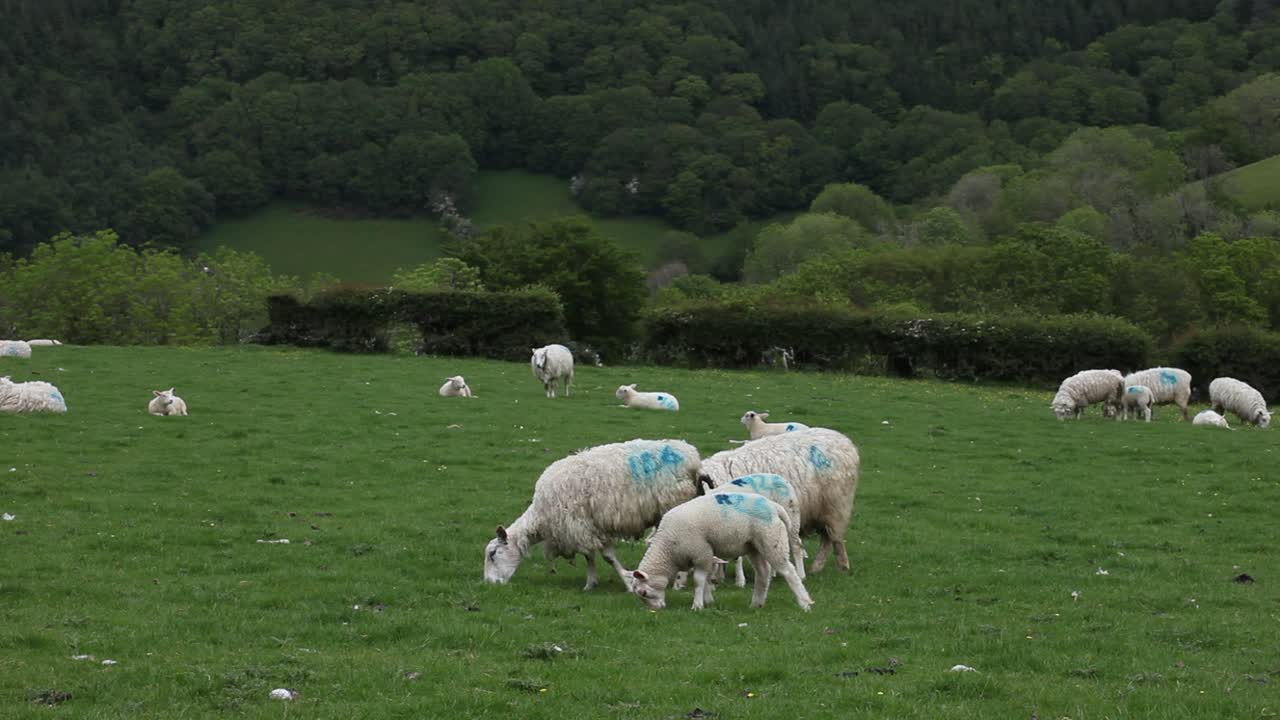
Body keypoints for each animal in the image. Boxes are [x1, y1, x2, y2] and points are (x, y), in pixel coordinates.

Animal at [483, 438, 704, 590]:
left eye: (493, 554)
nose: (489, 583)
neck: (541, 517)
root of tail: (692, 455)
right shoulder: (583, 529)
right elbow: (589, 556)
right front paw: (591, 583)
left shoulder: (580, 525)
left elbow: (608, 557)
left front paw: (627, 581)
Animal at [628, 492, 813, 611]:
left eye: (644, 592)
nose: (656, 610)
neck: (668, 549)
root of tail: (774, 506)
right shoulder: (705, 556)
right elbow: (706, 579)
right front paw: (707, 600)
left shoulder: (701, 552)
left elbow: (698, 580)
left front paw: (697, 605)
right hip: (754, 546)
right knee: (763, 572)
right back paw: (757, 603)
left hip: (772, 540)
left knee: (788, 571)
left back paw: (804, 603)